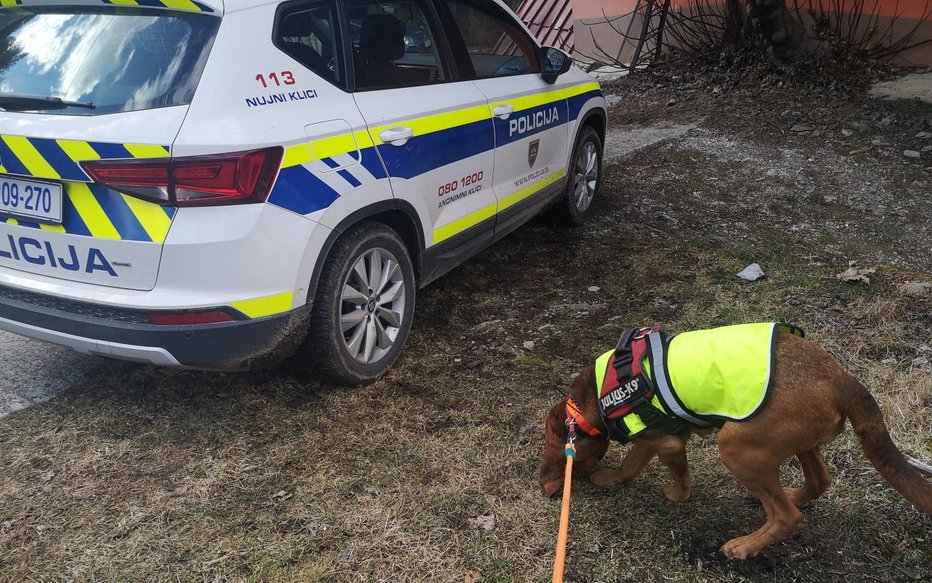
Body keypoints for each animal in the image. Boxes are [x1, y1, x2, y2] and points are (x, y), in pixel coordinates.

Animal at [540, 330, 932, 560]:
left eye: (562, 454)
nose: (549, 487)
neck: (593, 398)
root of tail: (843, 379)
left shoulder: (665, 442)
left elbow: (650, 466)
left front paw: (668, 491)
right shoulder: (663, 439)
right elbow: (648, 465)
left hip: (736, 446)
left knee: (787, 516)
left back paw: (744, 546)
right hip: (797, 442)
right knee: (819, 480)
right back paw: (793, 496)